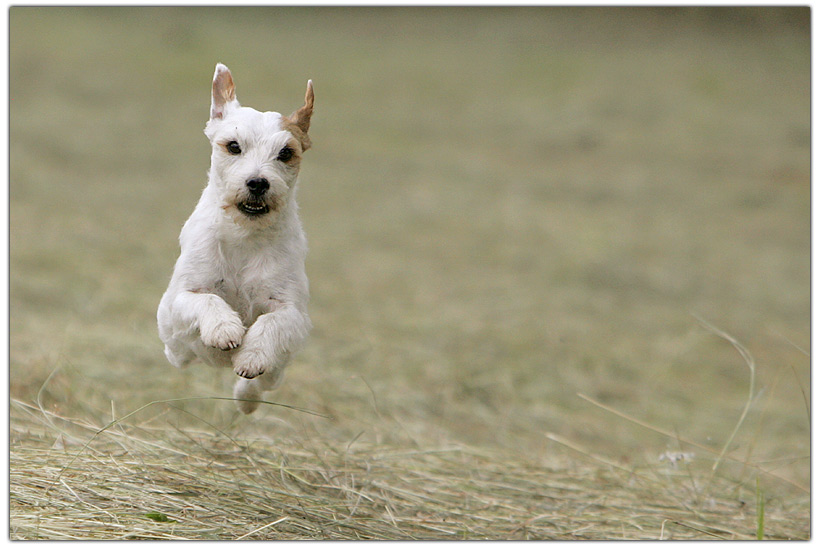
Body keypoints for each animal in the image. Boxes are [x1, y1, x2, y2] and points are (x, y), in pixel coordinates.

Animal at [157, 63, 314, 410]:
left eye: (286, 153)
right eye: (233, 146)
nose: (257, 183)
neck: (244, 235)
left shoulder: (294, 314)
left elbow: (271, 323)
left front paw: (250, 357)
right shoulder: (176, 303)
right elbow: (207, 299)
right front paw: (224, 329)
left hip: (279, 368)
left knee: (265, 381)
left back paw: (247, 399)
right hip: (175, 347)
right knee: (178, 353)